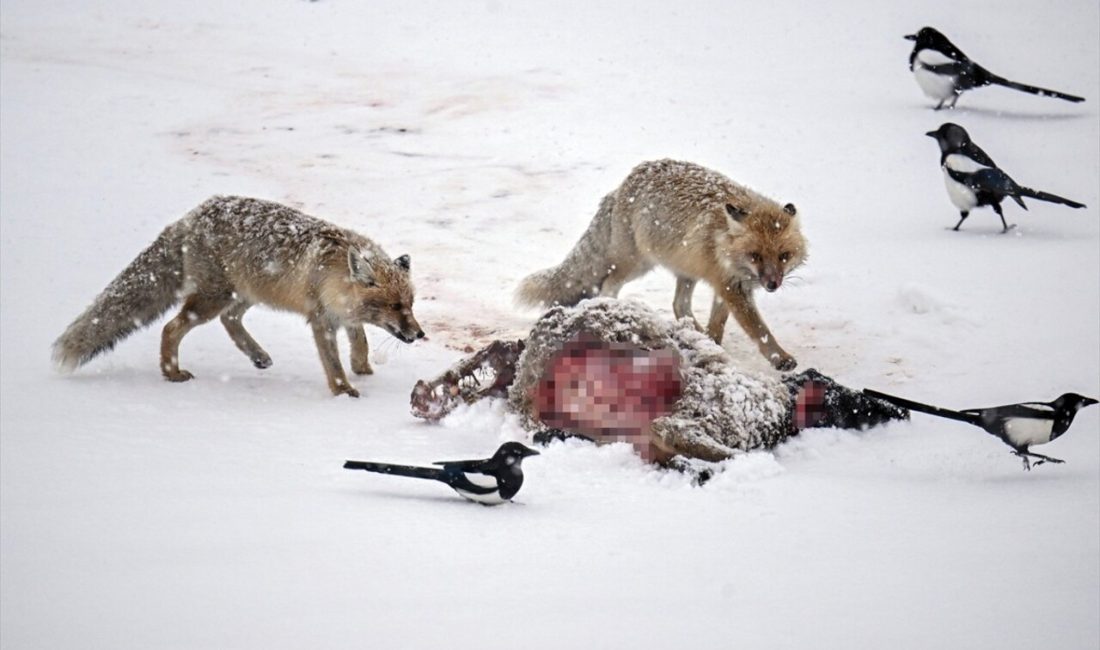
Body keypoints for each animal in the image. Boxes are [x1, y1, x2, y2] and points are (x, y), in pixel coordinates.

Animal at [53, 193, 426, 395]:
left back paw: (258, 356)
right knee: (172, 327)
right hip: (211, 299)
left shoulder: (344, 315)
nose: (420, 334)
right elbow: (333, 363)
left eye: (410, 304)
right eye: (394, 306)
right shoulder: (321, 320)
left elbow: (360, 341)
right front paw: (344, 391)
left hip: (241, 296)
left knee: (229, 321)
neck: (332, 270)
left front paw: (362, 368)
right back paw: (172, 372)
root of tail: (190, 216)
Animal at [514, 159, 809, 371]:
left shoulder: (728, 283)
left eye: (783, 256)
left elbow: (718, 322)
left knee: (679, 305)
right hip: (637, 264)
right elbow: (760, 331)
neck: (722, 238)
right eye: (755, 256)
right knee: (608, 284)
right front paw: (780, 358)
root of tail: (621, 186)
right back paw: (612, 309)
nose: (772, 284)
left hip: (685, 271)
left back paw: (692, 332)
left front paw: (712, 343)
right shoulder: (731, 286)